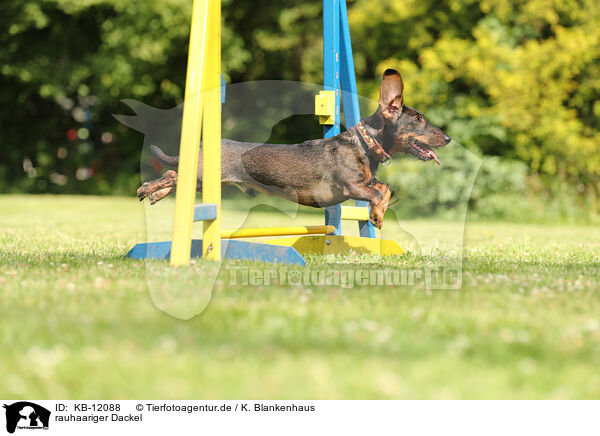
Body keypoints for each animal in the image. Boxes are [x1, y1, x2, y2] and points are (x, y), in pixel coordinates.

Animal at [137, 69, 450, 228]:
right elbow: (378, 192)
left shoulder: (366, 183)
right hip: (203, 178)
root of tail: (206, 146)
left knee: (172, 175)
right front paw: (376, 215)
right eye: (419, 120)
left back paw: (155, 193)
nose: (448, 138)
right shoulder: (352, 187)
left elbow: (385, 188)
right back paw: (148, 189)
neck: (363, 145)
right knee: (172, 174)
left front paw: (378, 215)